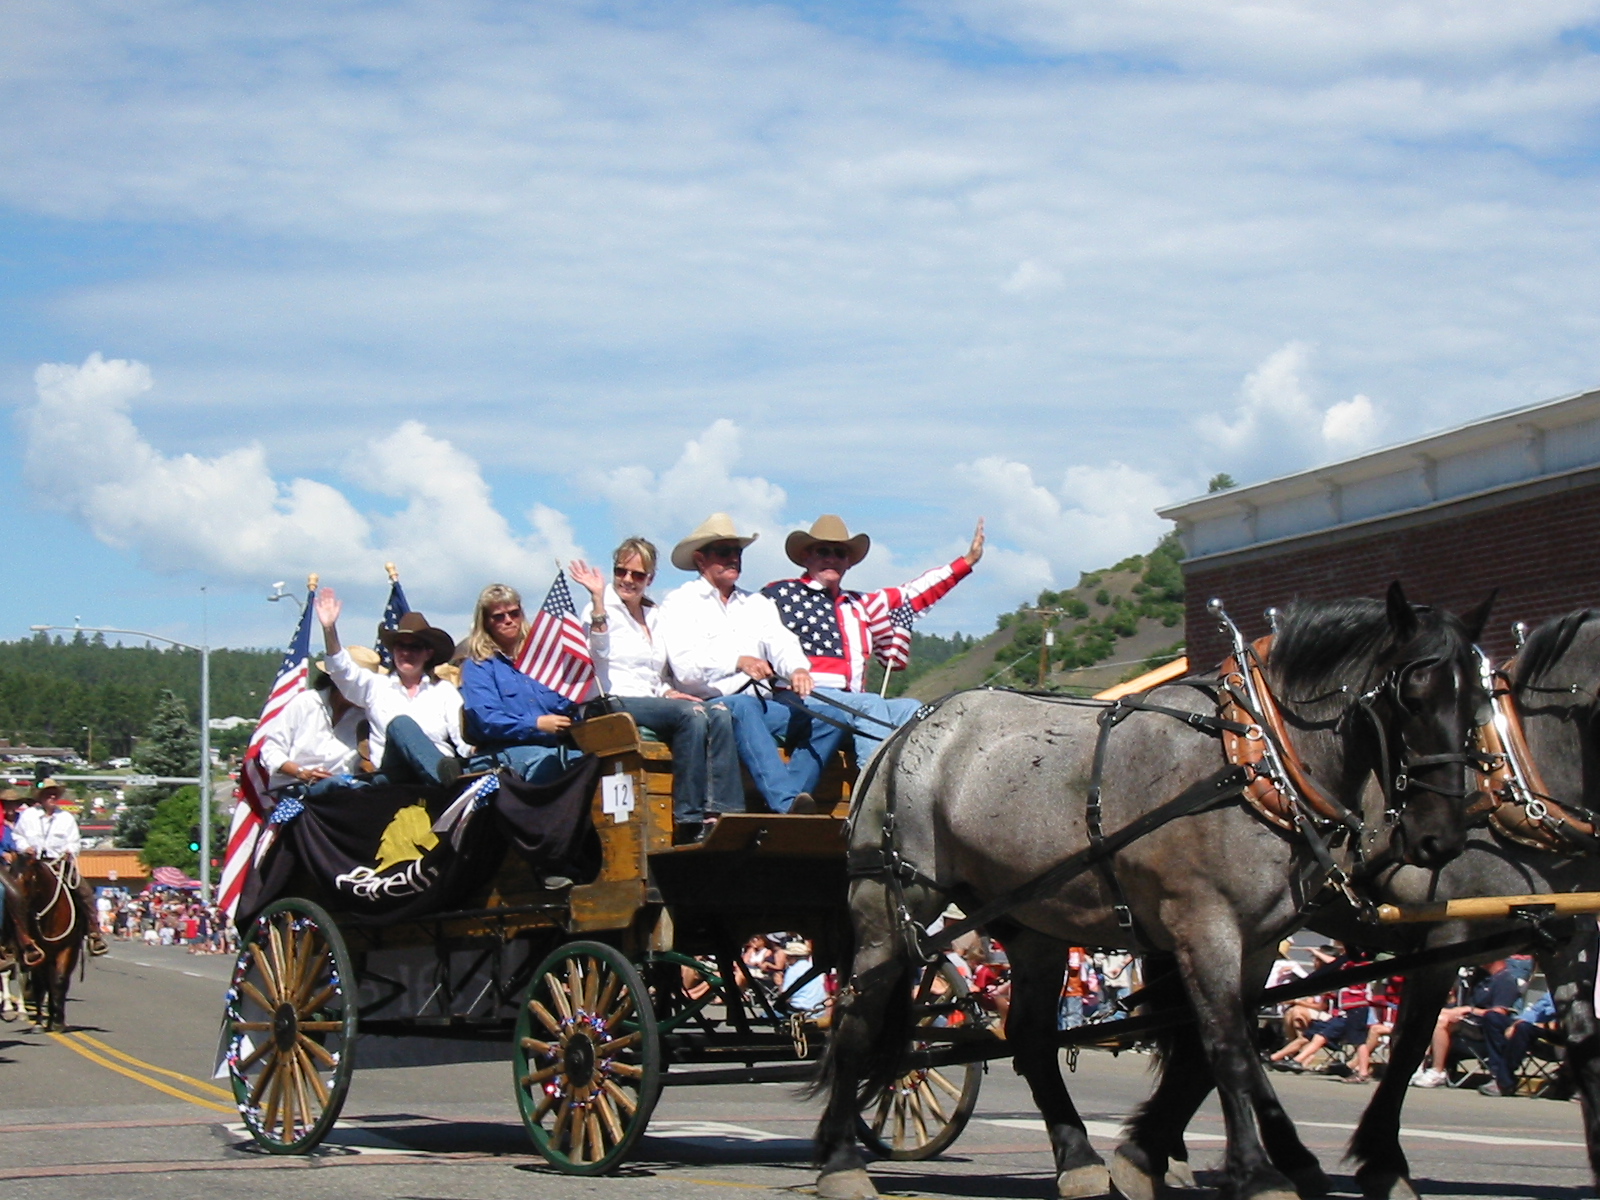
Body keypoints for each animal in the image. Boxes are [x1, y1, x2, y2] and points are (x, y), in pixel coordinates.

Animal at [15, 857, 86, 1036]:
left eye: (29, 879)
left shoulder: (68, 948)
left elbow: (59, 982)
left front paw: (59, 1022)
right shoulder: (37, 954)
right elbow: (40, 985)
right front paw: (39, 1023)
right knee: (45, 984)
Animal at [812, 588, 1484, 1200]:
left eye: (1478, 703)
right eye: (1410, 695)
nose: (1441, 838)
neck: (1254, 752)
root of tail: (905, 731)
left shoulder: (1258, 943)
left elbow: (1218, 1048)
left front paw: (1170, 1155)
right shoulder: (1203, 926)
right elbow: (1226, 1048)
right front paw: (1259, 1174)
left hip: (1032, 924)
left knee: (1031, 1036)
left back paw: (1079, 1158)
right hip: (891, 903)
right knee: (856, 1018)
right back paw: (840, 1161)